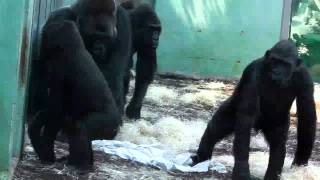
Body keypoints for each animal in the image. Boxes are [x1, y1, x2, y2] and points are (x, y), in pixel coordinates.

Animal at [191, 40, 316, 179]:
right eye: (275, 61)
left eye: (285, 64)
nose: (277, 71)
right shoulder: (252, 71)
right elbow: (246, 116)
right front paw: (242, 169)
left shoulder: (305, 78)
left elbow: (307, 114)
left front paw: (301, 162)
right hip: (232, 108)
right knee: (216, 128)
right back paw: (201, 157)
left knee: (278, 147)